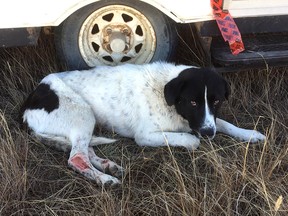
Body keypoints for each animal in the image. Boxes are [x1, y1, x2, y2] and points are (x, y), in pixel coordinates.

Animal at [19, 62, 266, 186]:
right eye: (193, 101)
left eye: (216, 100)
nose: (207, 133)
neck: (165, 93)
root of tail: (28, 105)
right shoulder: (146, 136)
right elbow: (191, 140)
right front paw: (195, 140)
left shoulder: (205, 120)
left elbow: (224, 123)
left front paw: (250, 134)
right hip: (83, 115)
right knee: (76, 157)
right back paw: (105, 179)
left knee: (85, 150)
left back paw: (108, 166)